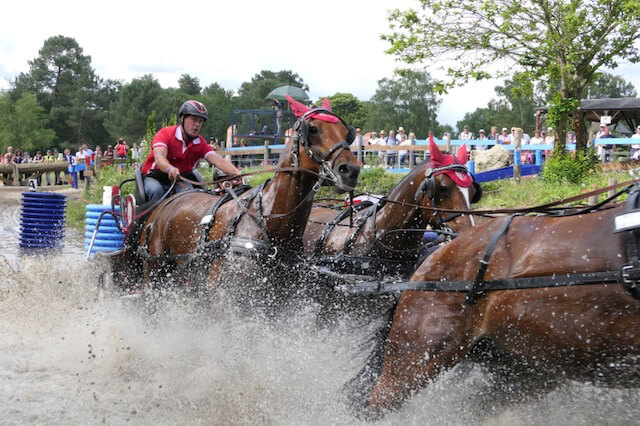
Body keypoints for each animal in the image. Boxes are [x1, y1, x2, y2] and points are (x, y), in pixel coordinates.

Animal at [119, 96, 360, 312]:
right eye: (313, 129)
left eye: (347, 133)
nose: (351, 170)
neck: (269, 221)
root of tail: (165, 203)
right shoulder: (224, 297)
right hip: (156, 273)